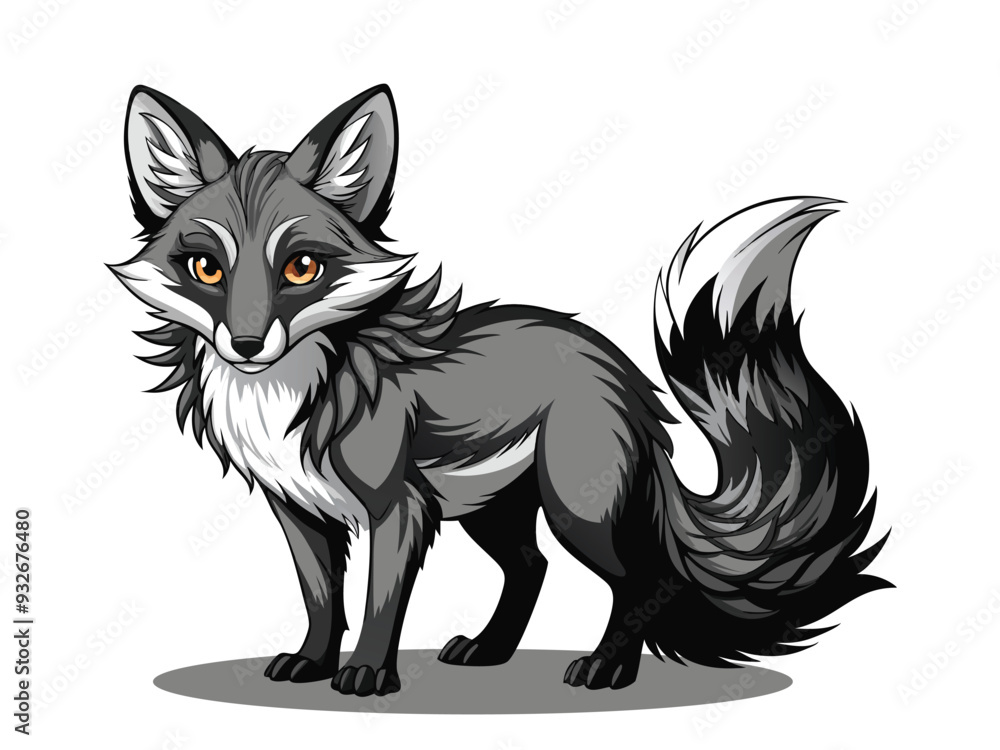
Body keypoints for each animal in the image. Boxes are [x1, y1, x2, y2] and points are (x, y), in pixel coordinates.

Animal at [111, 84, 890, 697]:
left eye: (301, 267)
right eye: (206, 269)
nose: (246, 347)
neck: (284, 398)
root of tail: (619, 367)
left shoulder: (398, 507)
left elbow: (379, 603)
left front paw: (365, 675)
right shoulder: (297, 507)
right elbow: (321, 599)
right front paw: (311, 662)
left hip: (579, 510)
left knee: (639, 581)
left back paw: (606, 669)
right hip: (494, 510)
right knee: (532, 568)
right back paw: (489, 651)